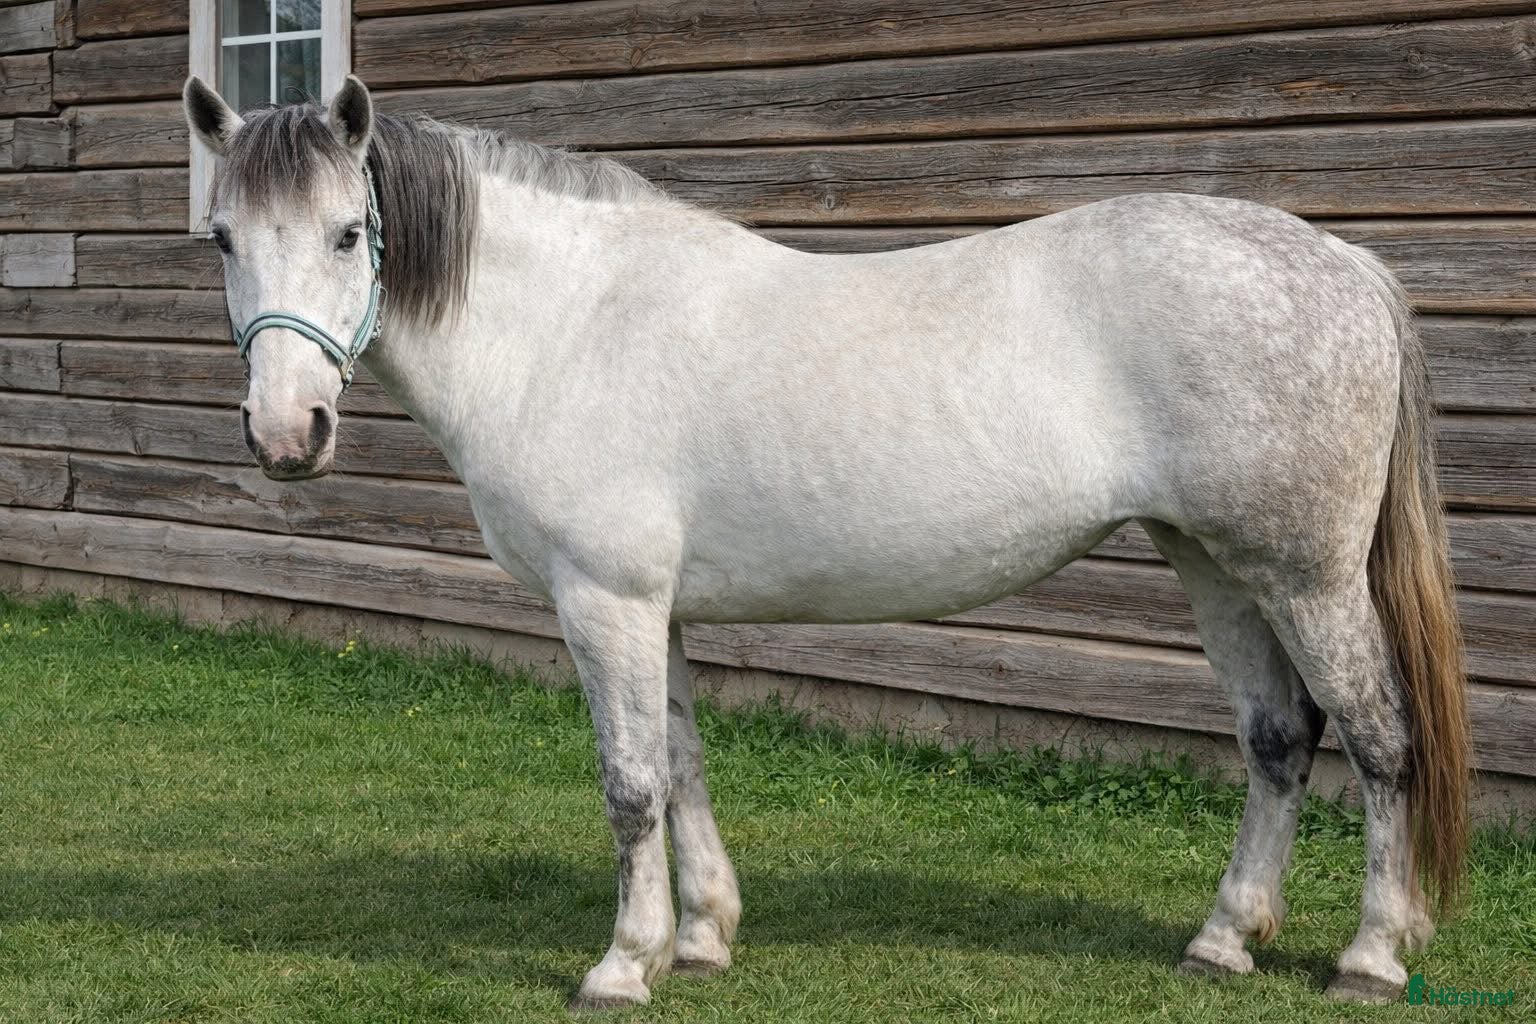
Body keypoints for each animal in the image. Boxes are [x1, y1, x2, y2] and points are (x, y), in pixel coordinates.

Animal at [182, 74, 1471, 1010]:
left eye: (350, 232)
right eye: (223, 239)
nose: (288, 433)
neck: (573, 325)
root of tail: (1350, 263)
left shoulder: (605, 601)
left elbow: (629, 785)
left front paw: (622, 965)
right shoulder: (660, 611)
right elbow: (684, 766)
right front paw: (700, 938)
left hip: (1305, 576)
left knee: (1380, 740)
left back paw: (1370, 956)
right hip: (1217, 566)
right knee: (1277, 740)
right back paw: (1223, 938)